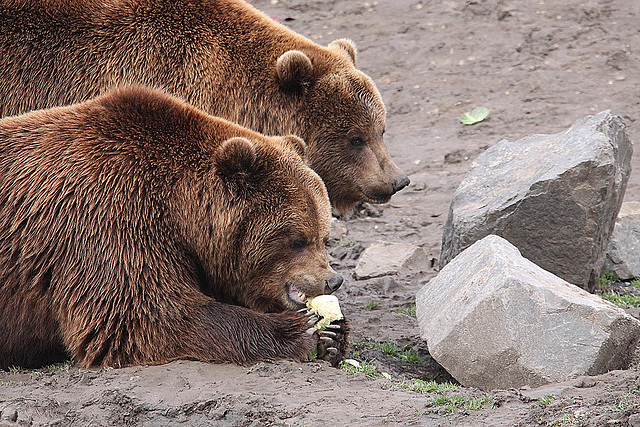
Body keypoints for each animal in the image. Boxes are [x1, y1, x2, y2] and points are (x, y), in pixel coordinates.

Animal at [0, 85, 348, 370]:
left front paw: (332, 334)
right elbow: (140, 316)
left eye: (324, 237)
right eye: (297, 240)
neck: (179, 209)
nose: (333, 280)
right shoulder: (109, 217)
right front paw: (297, 329)